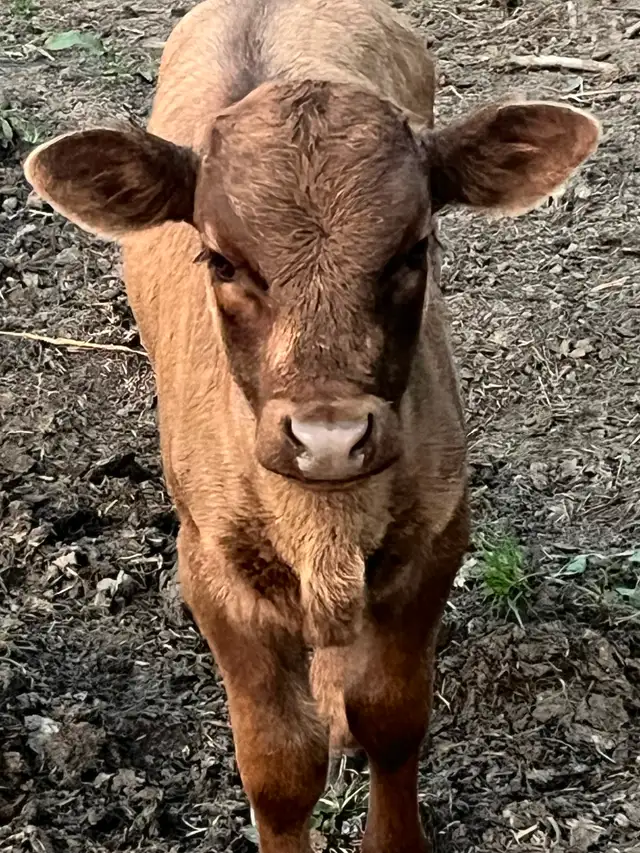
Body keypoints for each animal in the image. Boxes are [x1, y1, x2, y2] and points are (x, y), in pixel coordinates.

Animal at [23, 1, 600, 850]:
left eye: (414, 247)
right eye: (220, 260)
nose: (330, 438)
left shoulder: (438, 533)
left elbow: (393, 713)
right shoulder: (212, 569)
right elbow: (278, 765)